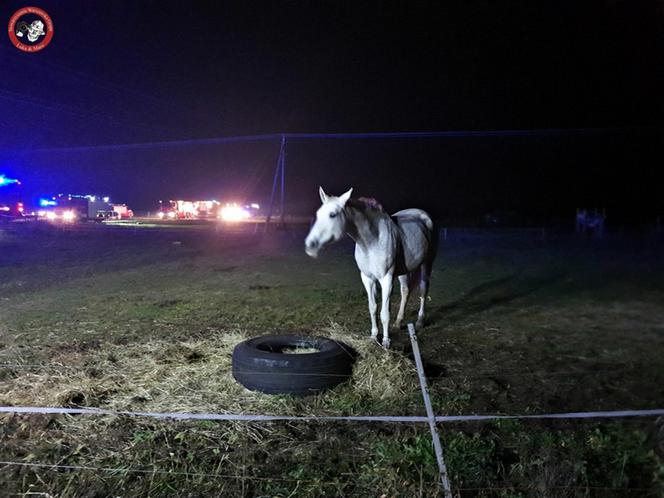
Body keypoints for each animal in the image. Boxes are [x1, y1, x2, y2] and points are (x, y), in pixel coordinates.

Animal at [304, 187, 438, 346]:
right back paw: (398, 322)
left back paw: (419, 321)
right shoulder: (367, 279)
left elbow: (384, 313)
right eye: (318, 214)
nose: (310, 245)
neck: (372, 240)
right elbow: (373, 308)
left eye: (332, 214)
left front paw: (386, 341)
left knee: (423, 289)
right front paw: (374, 336)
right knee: (405, 291)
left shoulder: (386, 279)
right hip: (404, 271)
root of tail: (422, 214)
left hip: (427, 263)